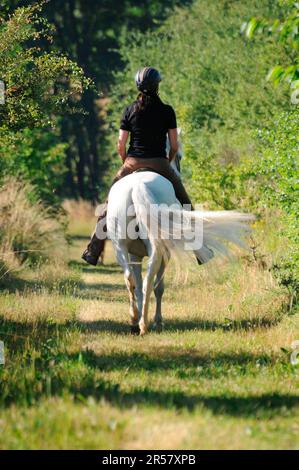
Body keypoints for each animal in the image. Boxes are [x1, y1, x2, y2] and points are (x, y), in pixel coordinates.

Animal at [106, 152, 253, 332]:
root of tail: (137, 187)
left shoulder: (135, 255)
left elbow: (141, 286)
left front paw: (143, 315)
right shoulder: (159, 254)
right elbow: (157, 287)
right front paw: (154, 319)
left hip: (122, 247)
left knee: (134, 280)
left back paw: (138, 321)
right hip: (144, 249)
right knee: (148, 282)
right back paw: (144, 322)